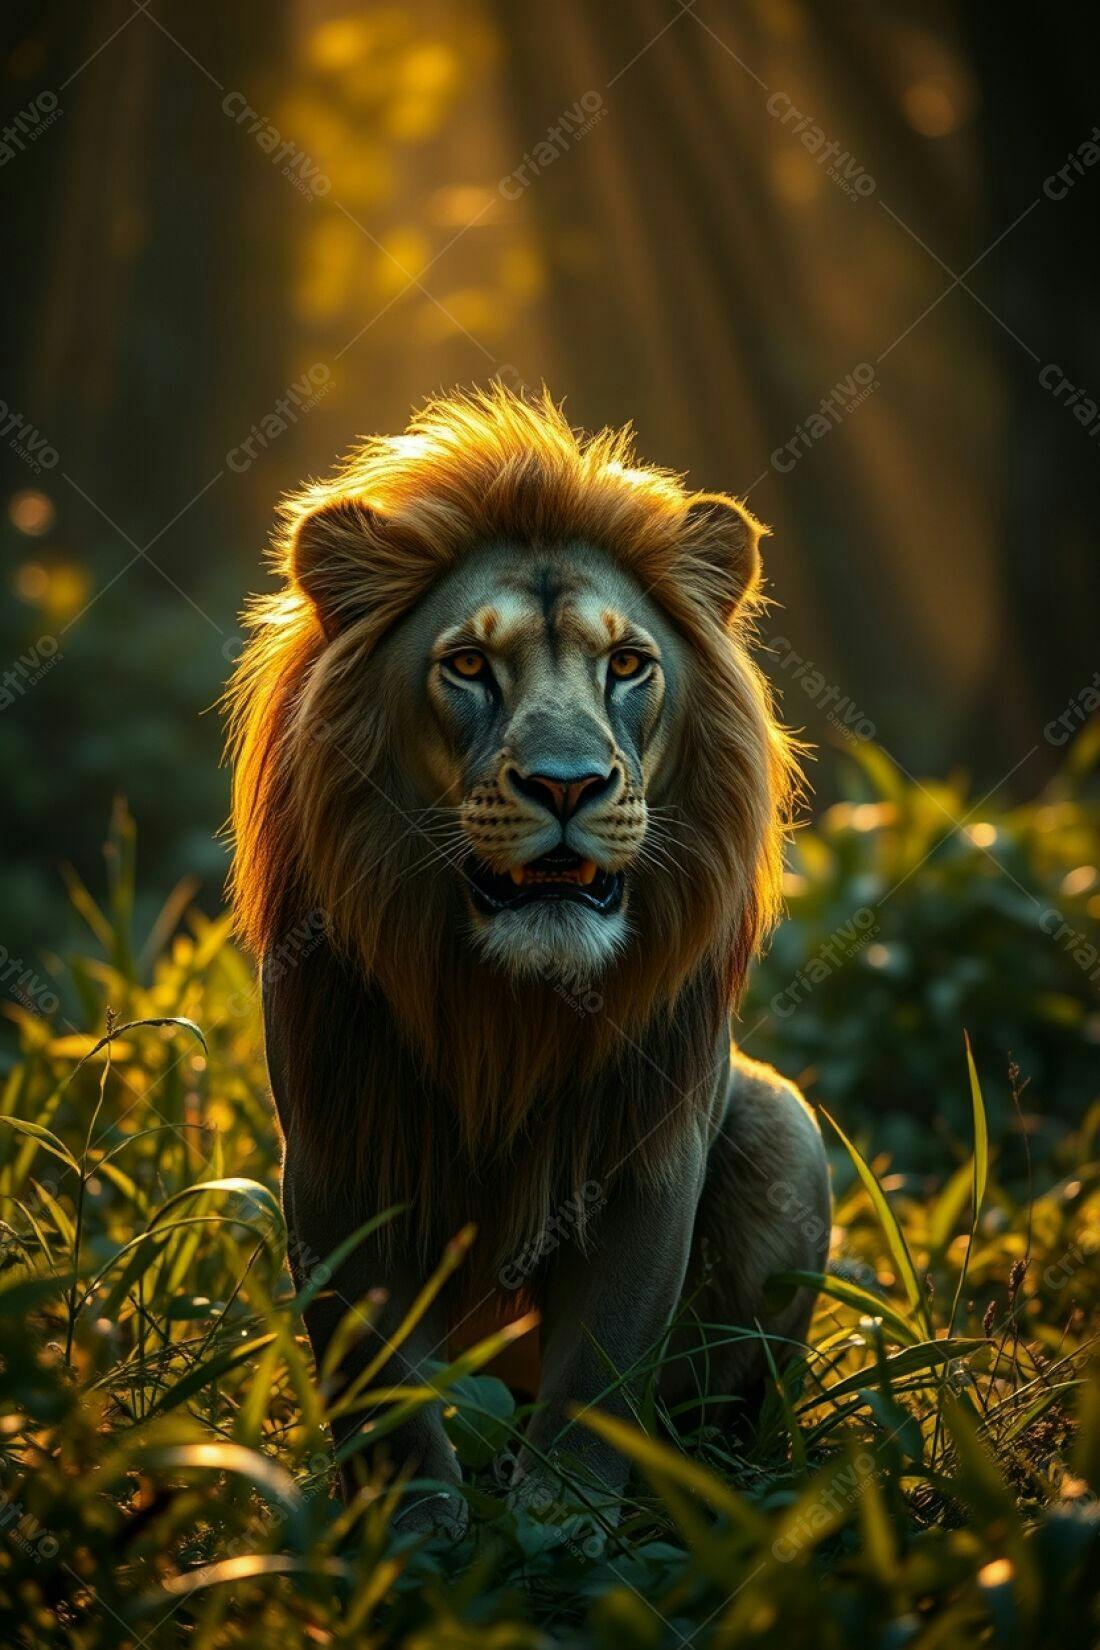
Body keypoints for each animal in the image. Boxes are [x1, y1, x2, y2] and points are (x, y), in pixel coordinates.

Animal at [227, 386, 830, 1537]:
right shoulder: (333, 1150)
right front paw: (415, 1530)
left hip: (783, 1125)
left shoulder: (645, 1155)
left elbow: (599, 1372)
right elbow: (381, 1379)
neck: (509, 1002)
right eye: (469, 664)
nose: (565, 784)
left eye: (626, 664)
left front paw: (561, 1524)